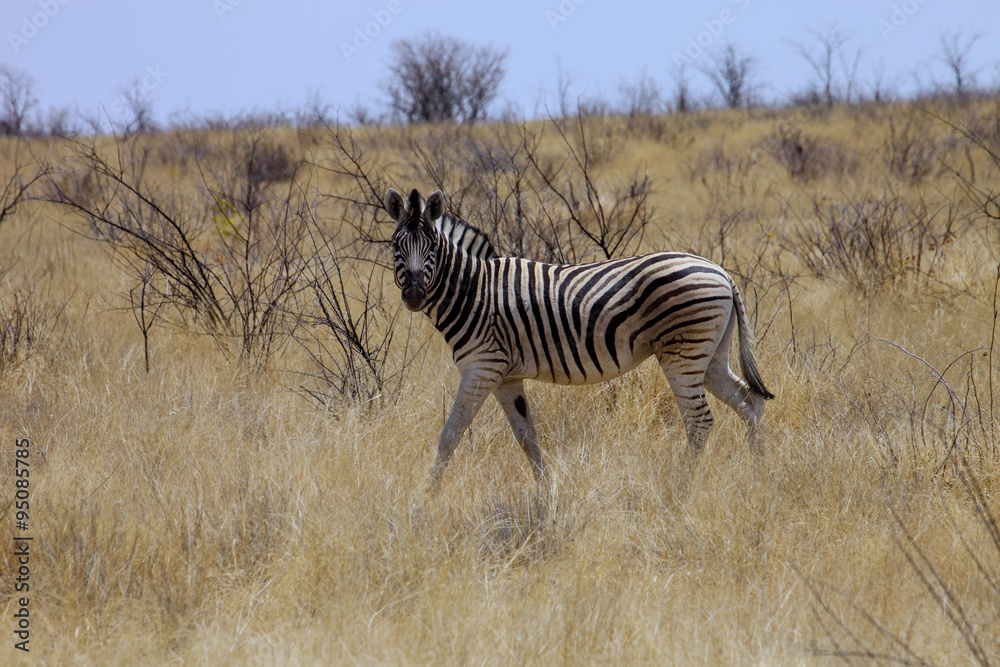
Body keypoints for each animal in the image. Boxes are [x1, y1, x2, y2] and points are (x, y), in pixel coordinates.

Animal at [386, 187, 774, 489]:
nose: (415, 296)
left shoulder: (482, 368)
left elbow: (449, 436)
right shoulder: (506, 377)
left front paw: (427, 497)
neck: (473, 291)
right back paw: (760, 478)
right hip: (711, 355)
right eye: (395, 246)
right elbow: (527, 439)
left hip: (683, 353)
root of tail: (721, 271)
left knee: (699, 422)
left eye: (432, 246)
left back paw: (678, 489)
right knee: (750, 403)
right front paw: (547, 491)